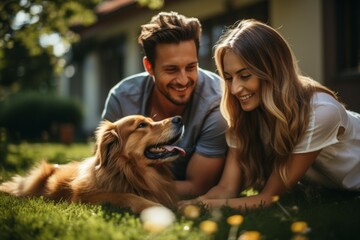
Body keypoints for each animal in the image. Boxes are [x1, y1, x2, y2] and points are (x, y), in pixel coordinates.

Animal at [0, 115, 186, 213]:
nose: (179, 118)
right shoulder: (84, 198)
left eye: (150, 120)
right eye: (142, 125)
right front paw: (153, 206)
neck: (128, 172)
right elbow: (123, 195)